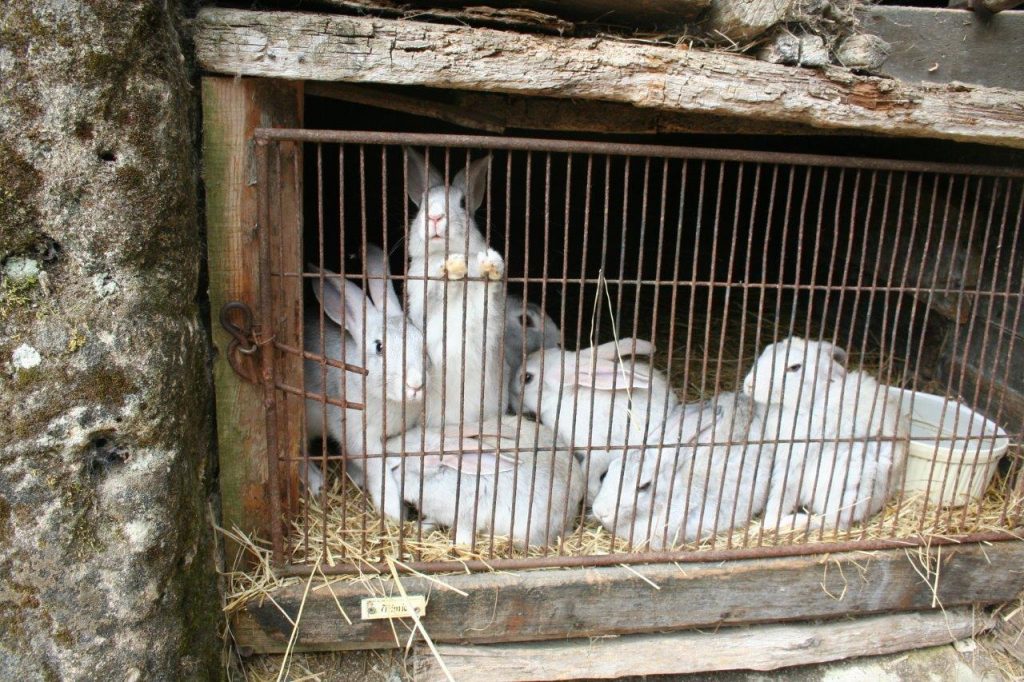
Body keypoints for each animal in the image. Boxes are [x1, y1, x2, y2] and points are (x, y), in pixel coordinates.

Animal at [301, 245, 425, 520]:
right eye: (379, 347)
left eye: (420, 339)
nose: (416, 383)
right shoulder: (359, 436)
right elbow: (378, 470)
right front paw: (394, 511)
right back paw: (316, 481)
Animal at [385, 413, 585, 548]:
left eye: (395, 468)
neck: (441, 476)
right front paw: (419, 527)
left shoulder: (466, 517)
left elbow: (463, 537)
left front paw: (457, 546)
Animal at [403, 147, 507, 425]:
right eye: (423, 204)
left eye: (462, 204)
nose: (435, 216)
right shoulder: (421, 299)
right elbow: (436, 295)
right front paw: (449, 270)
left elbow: (488, 293)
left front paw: (491, 264)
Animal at [509, 335, 679, 503]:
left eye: (527, 377)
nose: (513, 404)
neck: (566, 398)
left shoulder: (601, 450)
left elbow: (588, 475)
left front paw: (592, 497)